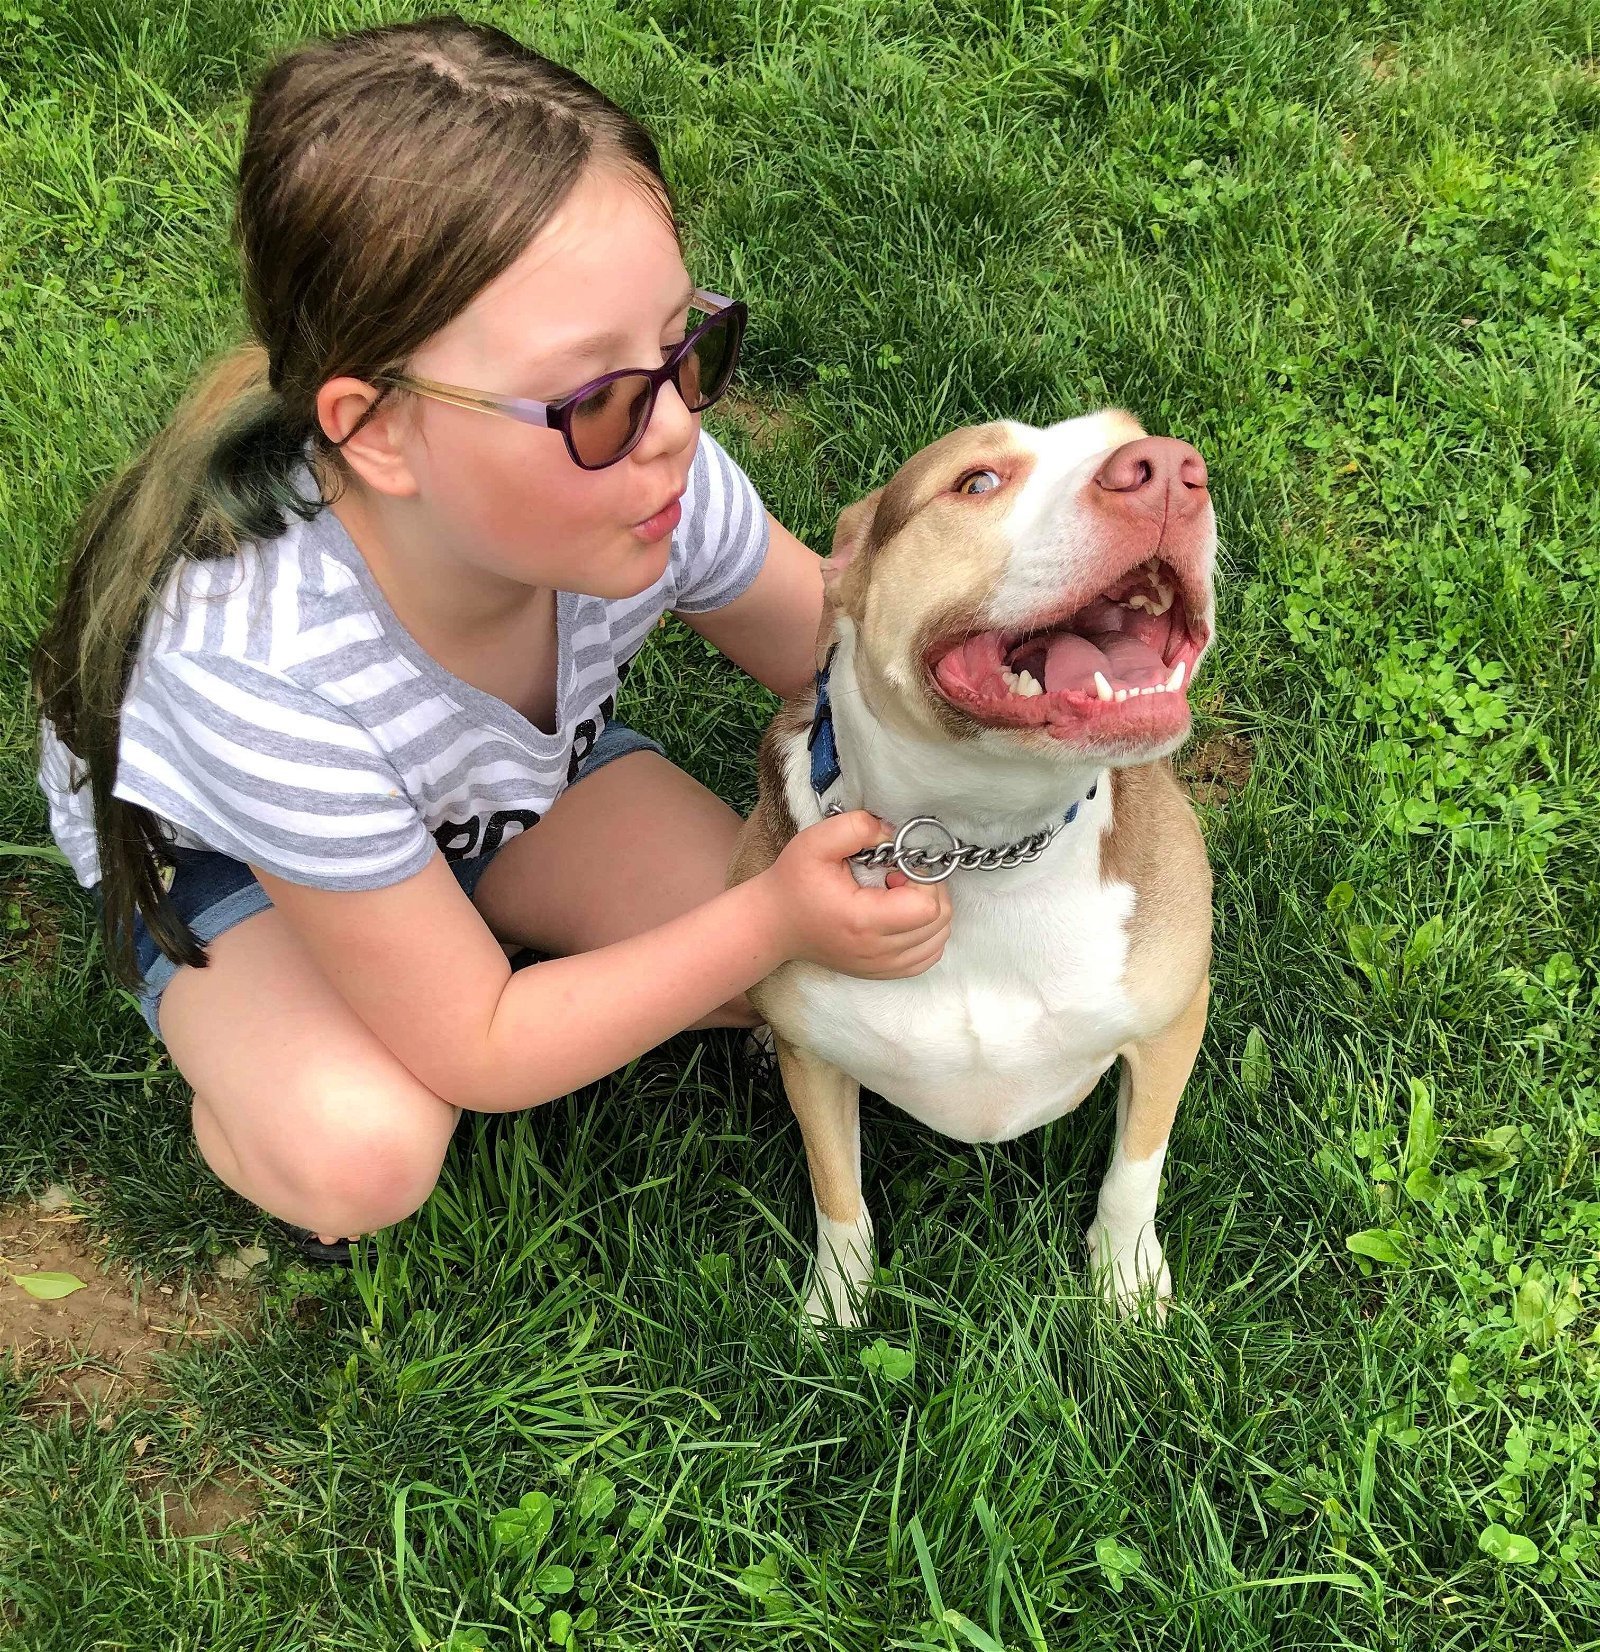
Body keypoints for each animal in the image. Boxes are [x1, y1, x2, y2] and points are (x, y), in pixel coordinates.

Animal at [723, 413, 1208, 1328]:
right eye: (977, 482)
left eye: (1130, 433)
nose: (1170, 469)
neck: (981, 848)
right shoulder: (818, 1064)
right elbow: (837, 1193)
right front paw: (834, 1308)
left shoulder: (1172, 1022)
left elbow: (1137, 1169)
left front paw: (1124, 1280)